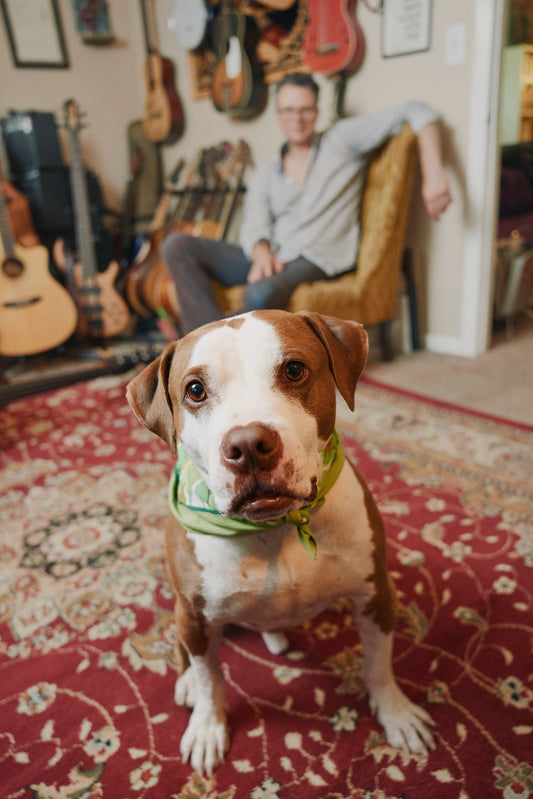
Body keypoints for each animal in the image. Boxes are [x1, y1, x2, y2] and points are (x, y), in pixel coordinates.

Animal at [126, 310, 435, 776]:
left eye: (293, 369)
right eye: (195, 390)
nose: (248, 445)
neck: (274, 527)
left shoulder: (376, 594)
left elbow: (378, 663)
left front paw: (395, 713)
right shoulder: (195, 615)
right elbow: (210, 679)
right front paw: (208, 727)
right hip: (182, 608)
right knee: (186, 653)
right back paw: (186, 684)